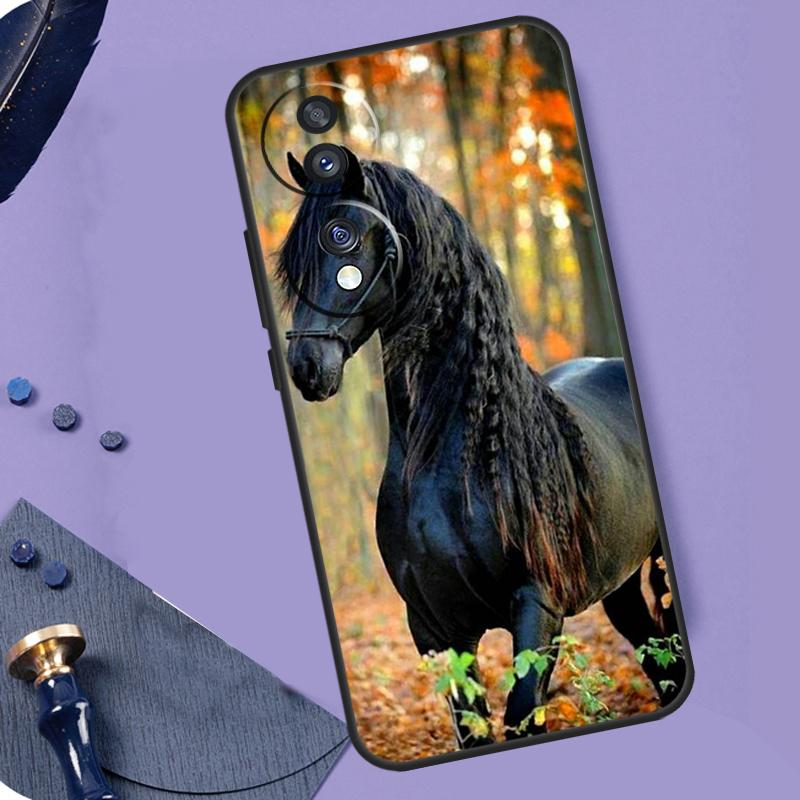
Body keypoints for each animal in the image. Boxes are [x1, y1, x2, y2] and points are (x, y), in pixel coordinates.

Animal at [278, 147, 685, 748]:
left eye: (341, 236)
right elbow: (474, 728)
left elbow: (521, 714)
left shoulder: (537, 609)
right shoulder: (435, 628)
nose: (307, 367)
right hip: (622, 587)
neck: (451, 462)